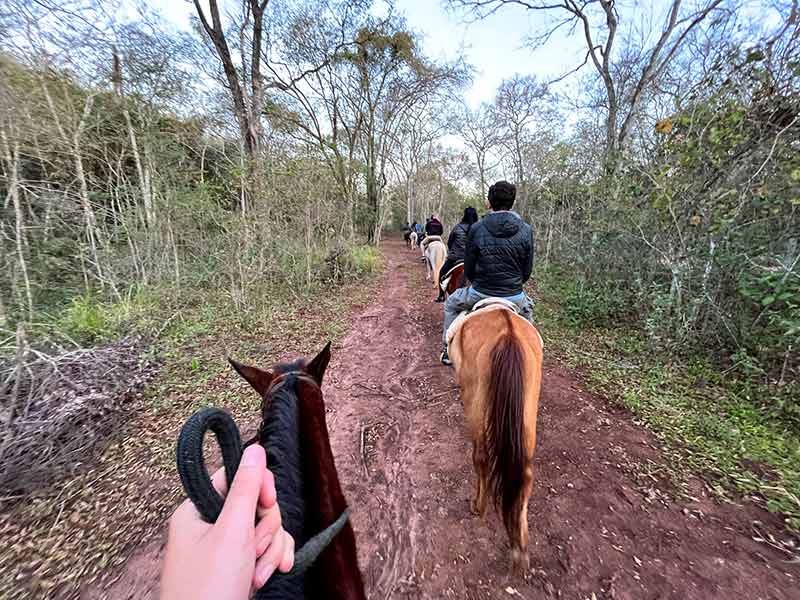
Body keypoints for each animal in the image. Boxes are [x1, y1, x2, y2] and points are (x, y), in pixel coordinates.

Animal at [450, 308, 544, 576]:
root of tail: (507, 335)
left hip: (475, 401)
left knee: (481, 457)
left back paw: (478, 506)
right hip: (528, 408)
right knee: (526, 475)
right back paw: (520, 545)